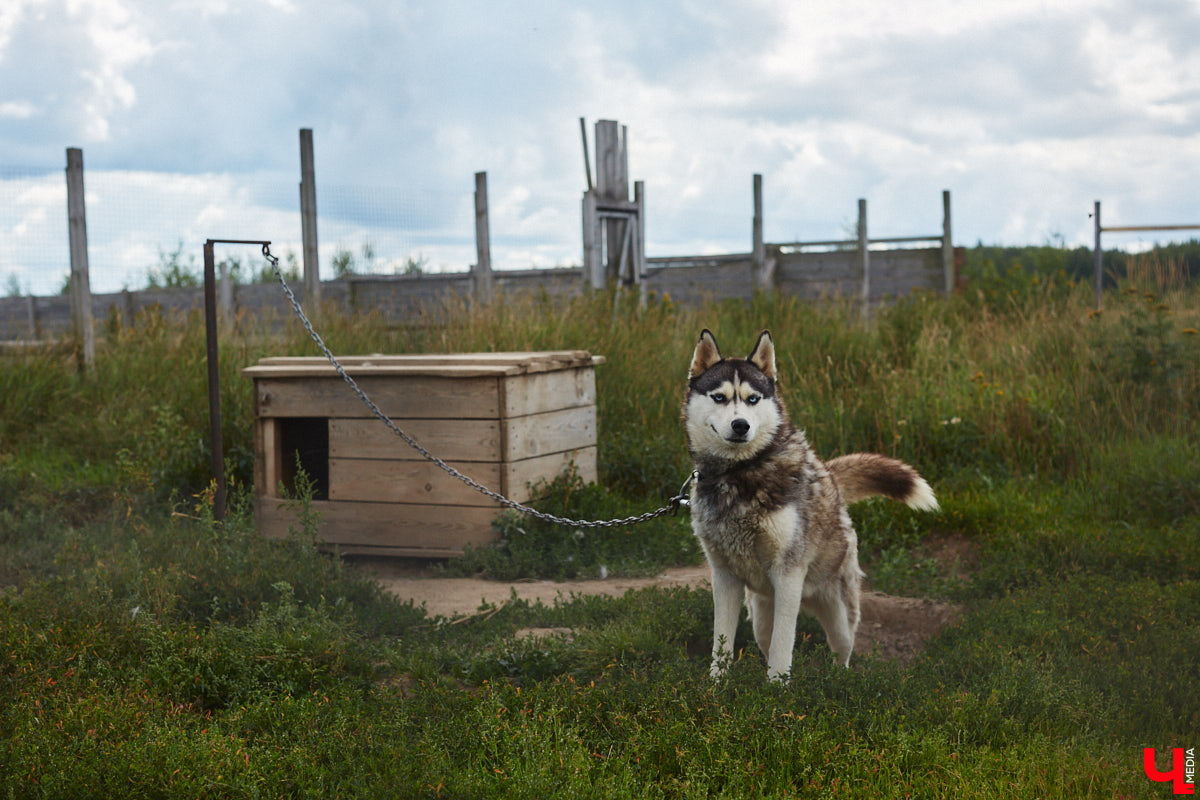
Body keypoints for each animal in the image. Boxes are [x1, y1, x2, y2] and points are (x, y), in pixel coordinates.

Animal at [686, 331, 936, 681]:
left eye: (753, 399)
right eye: (720, 397)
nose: (740, 425)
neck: (739, 474)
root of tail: (831, 478)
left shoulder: (789, 574)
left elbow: (783, 645)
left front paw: (777, 688)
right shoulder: (724, 576)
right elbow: (722, 643)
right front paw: (717, 685)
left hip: (839, 614)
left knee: (842, 650)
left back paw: (838, 679)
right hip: (760, 614)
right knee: (766, 640)